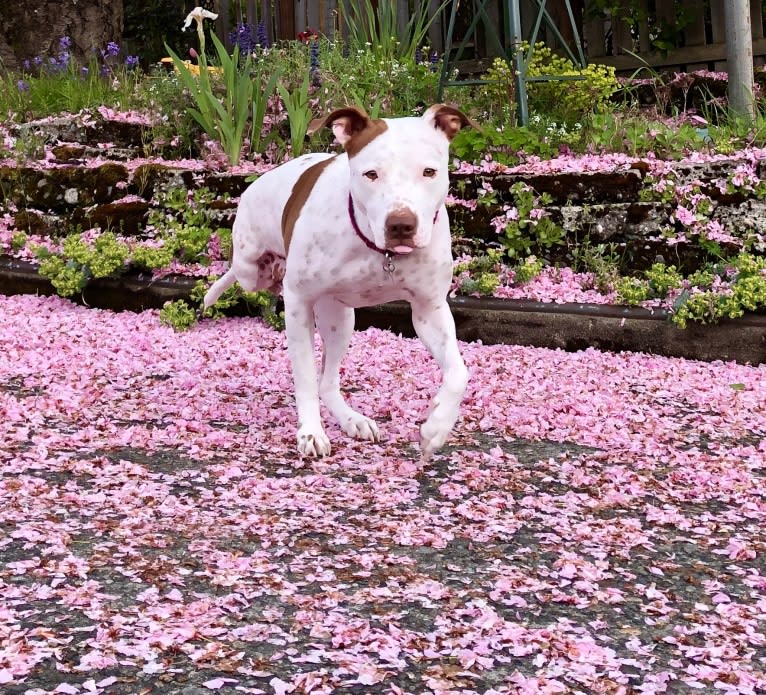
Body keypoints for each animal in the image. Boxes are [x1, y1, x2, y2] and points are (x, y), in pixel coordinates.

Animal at [201, 103, 472, 460]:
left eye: (429, 172)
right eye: (371, 174)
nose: (401, 225)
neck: (379, 250)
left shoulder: (430, 309)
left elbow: (458, 373)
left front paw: (436, 427)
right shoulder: (298, 304)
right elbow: (304, 376)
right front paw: (311, 432)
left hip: (339, 318)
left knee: (328, 381)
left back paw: (352, 420)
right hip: (250, 269)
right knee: (242, 272)